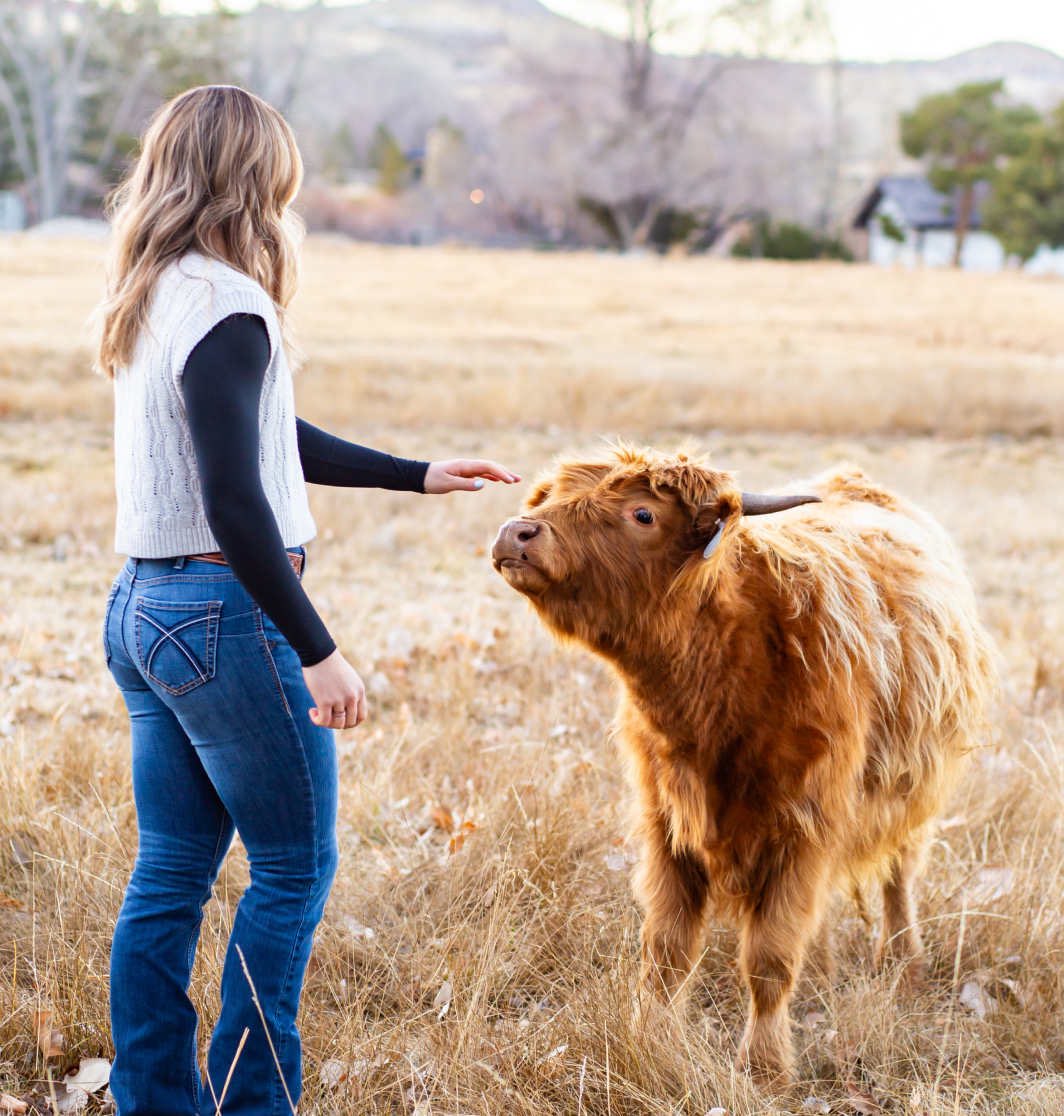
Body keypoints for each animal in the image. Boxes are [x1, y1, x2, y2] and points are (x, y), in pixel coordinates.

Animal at [491, 446, 994, 1086]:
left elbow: (769, 958)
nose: (516, 532)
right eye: (550, 496)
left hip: (913, 787)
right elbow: (667, 950)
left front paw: (765, 1067)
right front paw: (649, 1040)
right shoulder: (667, 820)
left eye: (643, 514)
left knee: (898, 875)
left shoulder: (804, 824)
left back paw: (905, 963)